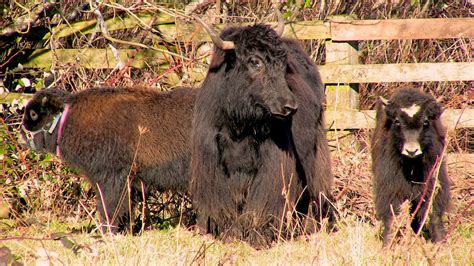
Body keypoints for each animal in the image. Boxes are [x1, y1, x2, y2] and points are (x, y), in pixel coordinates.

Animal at [370, 88, 452, 247]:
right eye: (397, 121)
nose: (411, 150)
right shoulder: (390, 186)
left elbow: (434, 213)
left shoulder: (434, 183)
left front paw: (440, 242)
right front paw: (387, 244)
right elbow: (392, 215)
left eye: (425, 121)